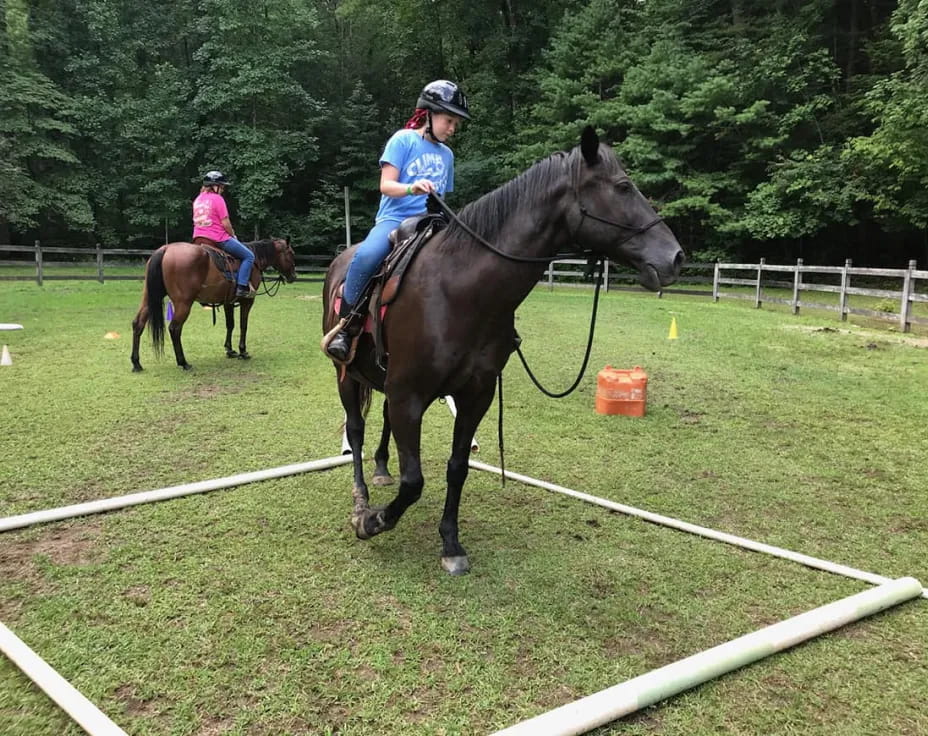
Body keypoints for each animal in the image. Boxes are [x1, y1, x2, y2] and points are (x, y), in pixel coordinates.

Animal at [131, 237, 296, 372]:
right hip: (183, 303)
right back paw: (183, 362)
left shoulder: (228, 303)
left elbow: (230, 325)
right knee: (174, 328)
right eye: (291, 253)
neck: (254, 260)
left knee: (138, 324)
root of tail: (165, 249)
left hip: (149, 298)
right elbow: (243, 325)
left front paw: (230, 350)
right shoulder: (247, 301)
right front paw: (243, 351)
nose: (294, 277)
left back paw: (136, 363)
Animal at [322, 126, 684, 575]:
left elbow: (457, 468)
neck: (459, 291)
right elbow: (414, 481)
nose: (675, 257)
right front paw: (371, 522)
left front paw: (451, 543)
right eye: (622, 187)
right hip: (345, 374)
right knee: (355, 429)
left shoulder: (474, 394)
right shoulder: (410, 395)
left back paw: (380, 468)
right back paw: (361, 500)